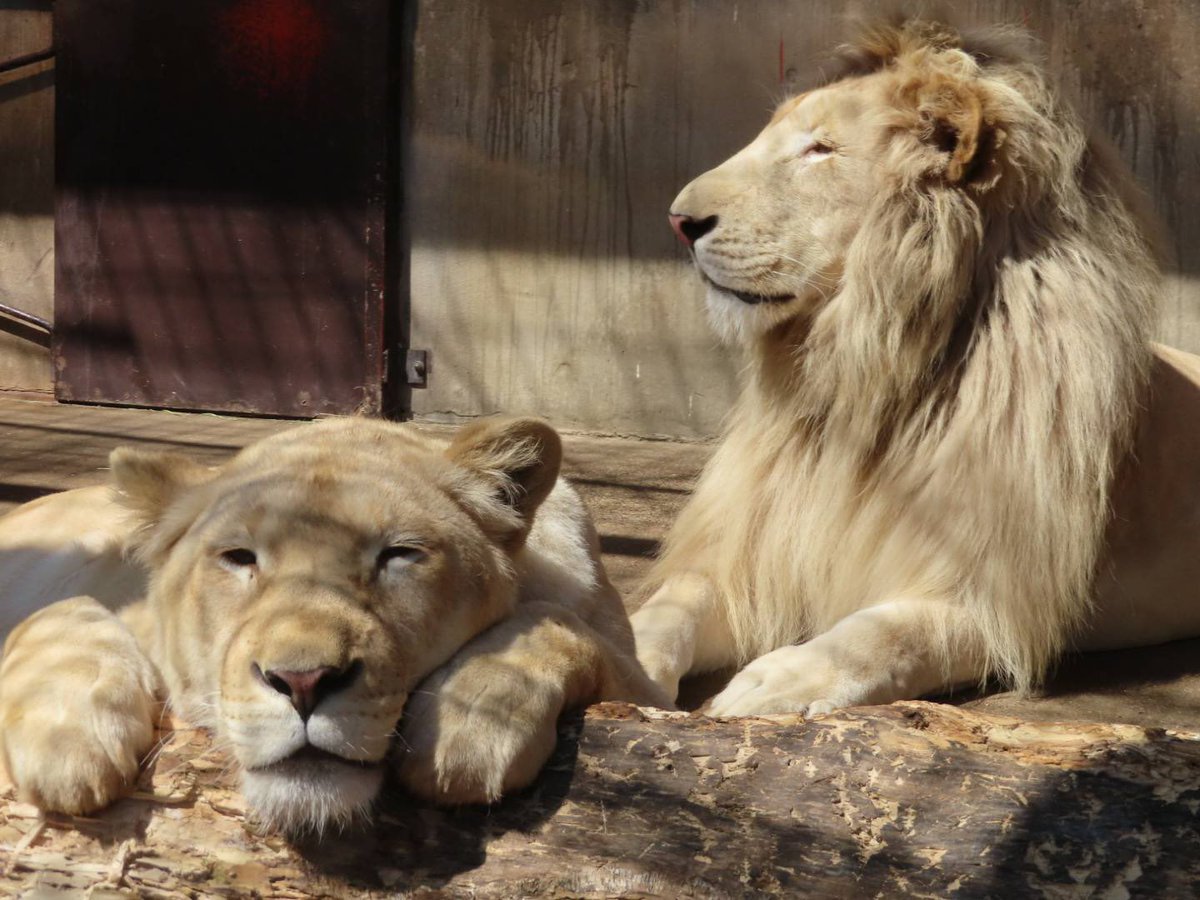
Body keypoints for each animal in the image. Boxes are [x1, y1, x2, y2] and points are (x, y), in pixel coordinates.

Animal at [0, 420, 667, 835]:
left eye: (399, 554)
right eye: (238, 557)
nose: (303, 683)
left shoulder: (648, 685)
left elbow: (555, 621)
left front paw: (474, 722)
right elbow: (58, 614)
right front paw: (65, 745)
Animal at [633, 17, 1200, 715]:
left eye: (820, 149)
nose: (679, 222)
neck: (859, 378)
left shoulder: (1001, 601)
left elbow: (887, 633)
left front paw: (784, 678)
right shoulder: (750, 557)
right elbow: (667, 607)